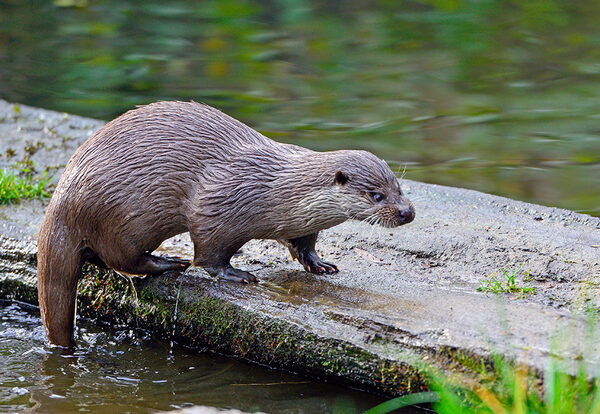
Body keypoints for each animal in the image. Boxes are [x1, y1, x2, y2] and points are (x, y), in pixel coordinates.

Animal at [35, 102, 414, 348]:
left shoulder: (301, 223)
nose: (407, 212)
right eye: (377, 195)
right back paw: (168, 263)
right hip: (123, 218)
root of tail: (63, 198)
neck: (275, 190)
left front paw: (319, 264)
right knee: (122, 258)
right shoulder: (217, 205)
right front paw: (237, 274)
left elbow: (303, 243)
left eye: (399, 186)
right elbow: (209, 253)